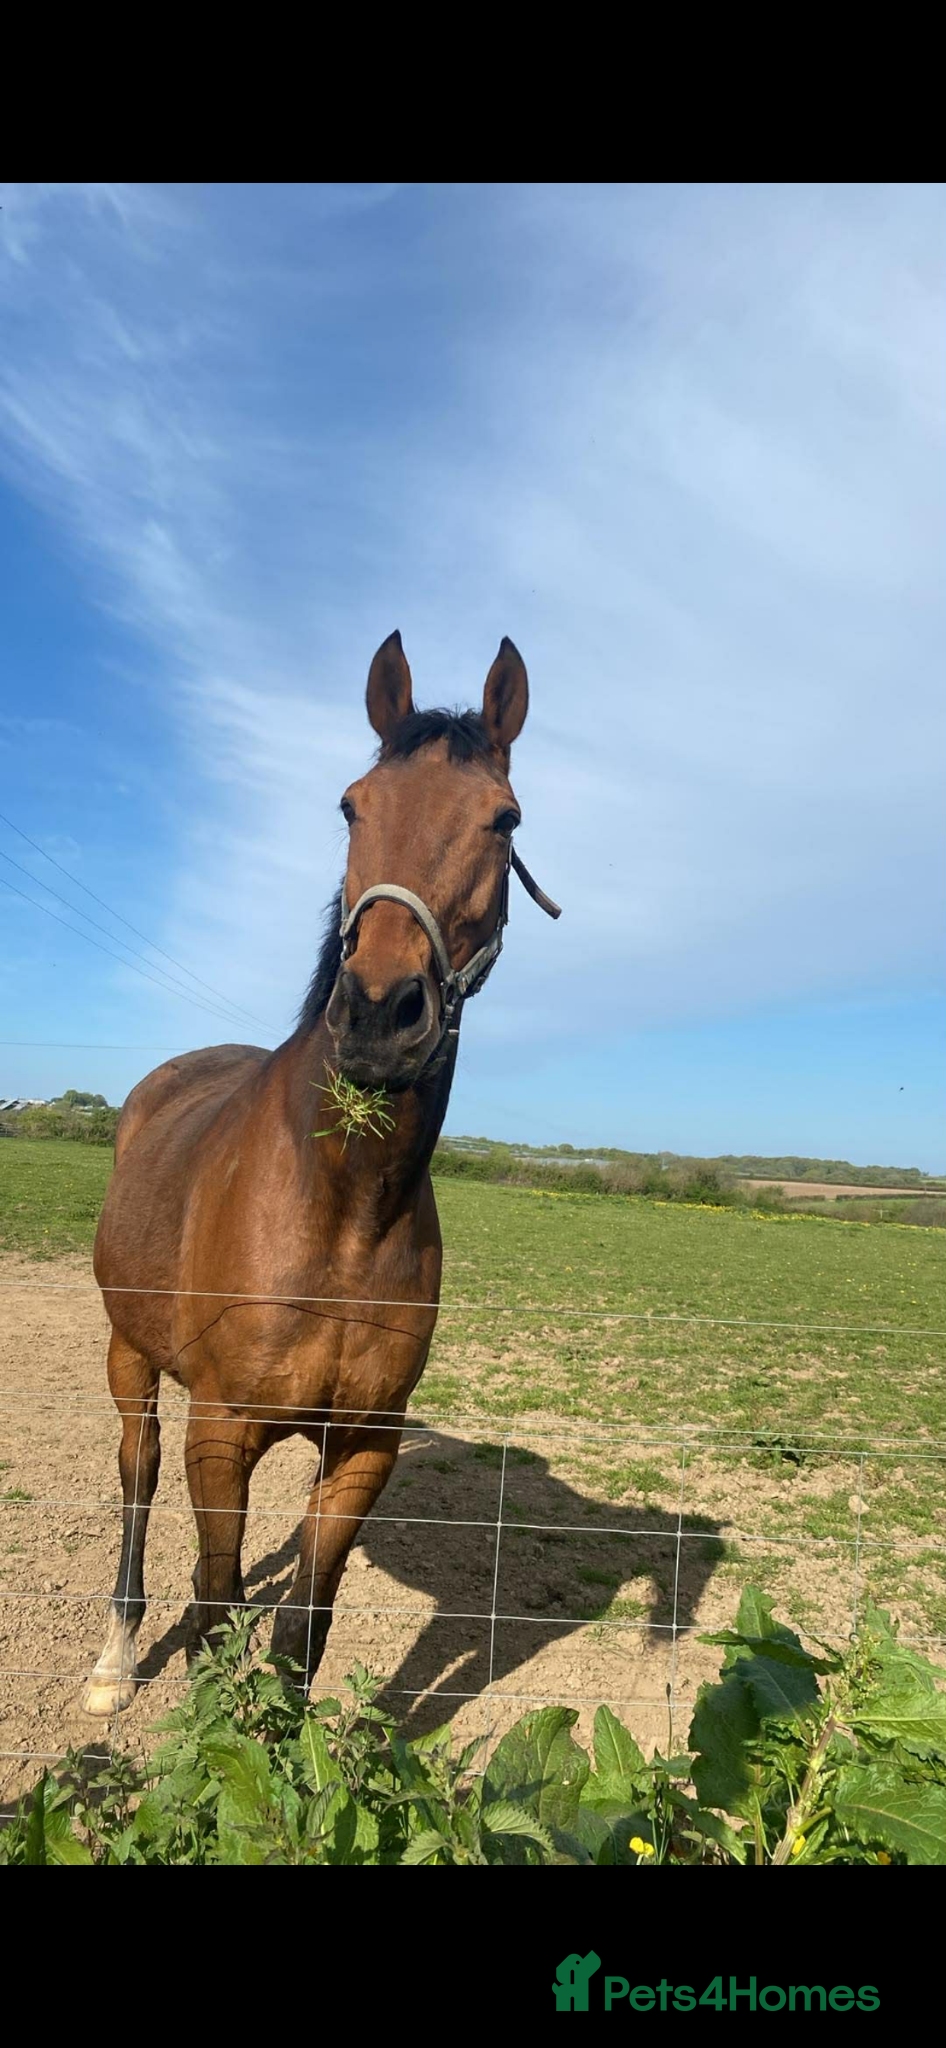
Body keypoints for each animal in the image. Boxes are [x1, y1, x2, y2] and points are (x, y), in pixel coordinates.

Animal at [84, 632, 560, 1716]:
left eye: (503, 818)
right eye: (352, 805)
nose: (380, 1012)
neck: (338, 1213)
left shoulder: (362, 1444)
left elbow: (301, 1627)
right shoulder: (223, 1430)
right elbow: (217, 1607)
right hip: (131, 1353)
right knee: (137, 1471)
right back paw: (116, 1652)